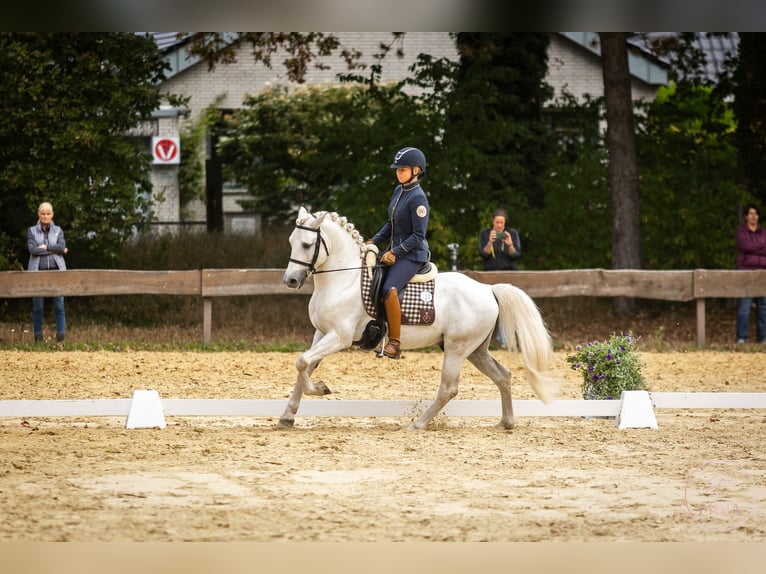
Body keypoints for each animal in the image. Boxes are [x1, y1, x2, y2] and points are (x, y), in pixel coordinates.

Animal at [280, 207, 560, 430]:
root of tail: (488, 289)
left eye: (307, 245)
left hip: (457, 349)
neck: (343, 279)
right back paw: (506, 422)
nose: (290, 280)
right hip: (475, 350)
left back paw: (419, 424)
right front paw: (287, 416)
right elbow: (304, 366)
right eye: (291, 240)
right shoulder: (321, 333)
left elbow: (302, 362)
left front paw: (320, 389)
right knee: (503, 375)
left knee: (449, 388)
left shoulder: (340, 337)